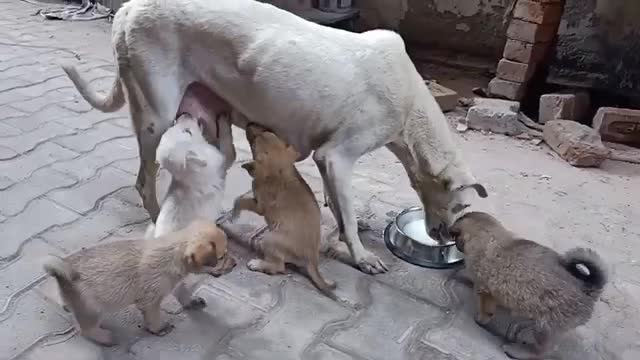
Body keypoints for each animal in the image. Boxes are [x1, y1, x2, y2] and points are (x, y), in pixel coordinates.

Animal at [42, 219, 235, 346]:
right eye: (221, 257)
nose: (235, 263)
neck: (173, 254)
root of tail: (63, 271)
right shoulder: (150, 301)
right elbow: (154, 317)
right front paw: (159, 328)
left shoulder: (174, 284)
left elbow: (183, 293)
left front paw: (191, 301)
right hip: (93, 309)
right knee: (87, 329)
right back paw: (106, 338)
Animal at [63, 0, 484, 272]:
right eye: (461, 206)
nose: (445, 239)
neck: (411, 106)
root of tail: (129, 8)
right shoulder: (337, 156)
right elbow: (346, 214)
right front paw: (360, 255)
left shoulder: (326, 159)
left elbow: (337, 204)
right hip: (157, 115)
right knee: (144, 178)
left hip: (207, 120)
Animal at [232, 124, 338, 298]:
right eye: (268, 132)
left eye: (253, 142)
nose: (249, 124)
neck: (279, 171)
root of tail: (311, 259)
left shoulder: (259, 205)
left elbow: (241, 200)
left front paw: (235, 213)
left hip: (268, 238)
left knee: (278, 267)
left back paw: (258, 264)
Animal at [448, 212, 608, 358]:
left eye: (455, 237)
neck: (486, 236)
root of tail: (588, 290)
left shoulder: (484, 290)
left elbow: (485, 309)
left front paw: (480, 319)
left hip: (545, 327)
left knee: (541, 350)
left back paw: (518, 351)